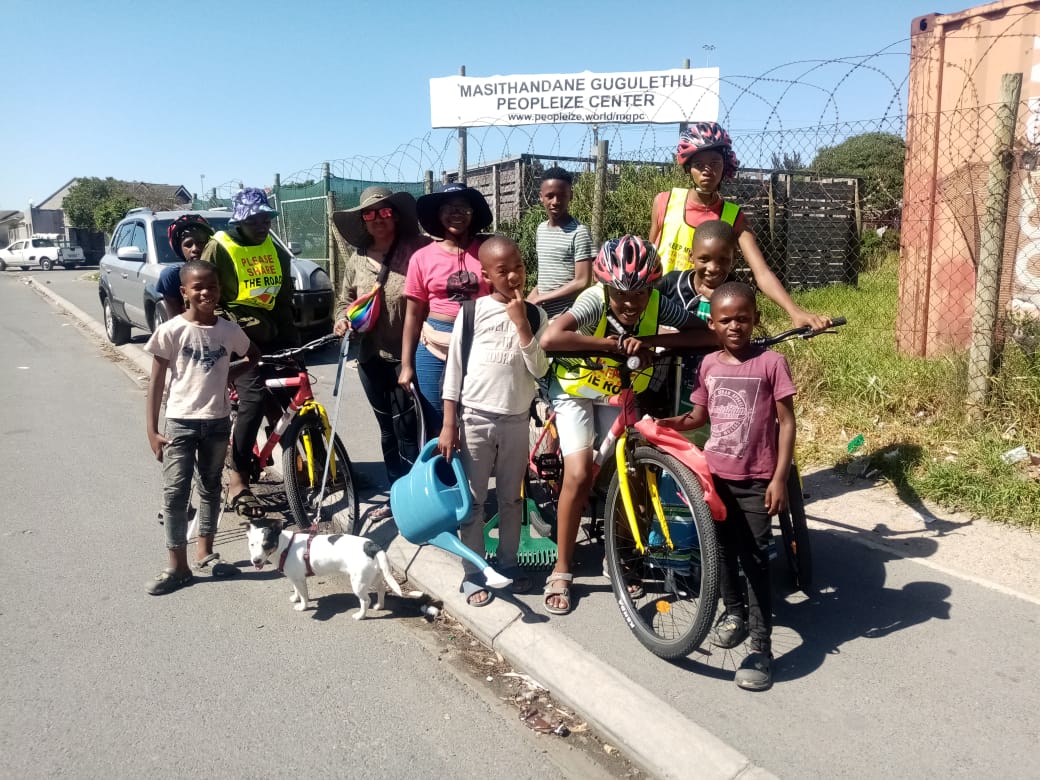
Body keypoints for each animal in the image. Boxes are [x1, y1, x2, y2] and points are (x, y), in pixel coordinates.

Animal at [245, 520, 403, 624]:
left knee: (365, 600)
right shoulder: (294, 577)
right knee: (381, 589)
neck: (286, 546)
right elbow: (296, 590)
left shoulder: (299, 579)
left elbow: (304, 596)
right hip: (375, 576)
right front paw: (295, 598)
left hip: (359, 583)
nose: (256, 561)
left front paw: (302, 606)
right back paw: (379, 606)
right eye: (251, 544)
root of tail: (373, 547)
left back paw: (360, 615)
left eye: (266, 545)